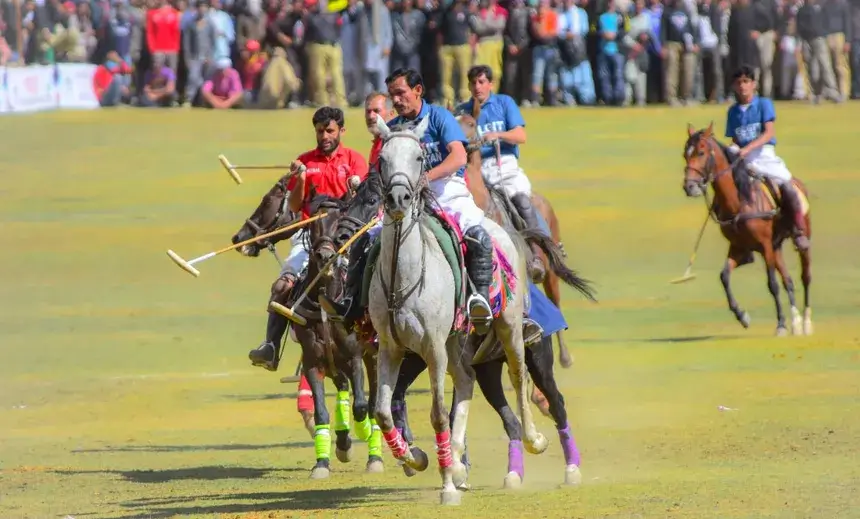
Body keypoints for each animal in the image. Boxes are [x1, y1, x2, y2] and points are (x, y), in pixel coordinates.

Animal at [368, 116, 544, 506]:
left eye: (420, 157)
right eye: (382, 159)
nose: (399, 198)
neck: (403, 277)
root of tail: (502, 228)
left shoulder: (432, 348)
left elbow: (437, 415)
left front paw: (447, 484)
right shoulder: (390, 348)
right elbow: (383, 413)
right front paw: (415, 458)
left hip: (507, 324)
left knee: (518, 374)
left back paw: (533, 439)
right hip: (455, 339)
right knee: (465, 380)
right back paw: (459, 464)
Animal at [680, 124, 812, 338]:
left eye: (701, 152)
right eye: (685, 154)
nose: (690, 187)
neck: (739, 200)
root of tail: (798, 183)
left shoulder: (765, 246)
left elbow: (772, 284)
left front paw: (781, 325)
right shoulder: (740, 248)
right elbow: (724, 276)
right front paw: (742, 316)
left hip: (801, 237)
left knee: (805, 277)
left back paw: (806, 323)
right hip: (776, 247)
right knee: (789, 281)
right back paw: (796, 322)